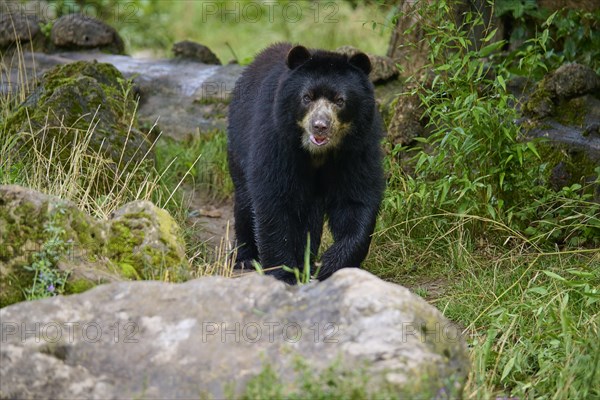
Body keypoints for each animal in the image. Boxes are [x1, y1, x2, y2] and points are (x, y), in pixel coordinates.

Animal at [225, 42, 384, 282]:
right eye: (307, 97)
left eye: (340, 100)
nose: (320, 126)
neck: (317, 153)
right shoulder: (276, 141)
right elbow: (273, 202)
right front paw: (284, 273)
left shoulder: (357, 150)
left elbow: (357, 201)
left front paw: (325, 265)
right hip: (238, 141)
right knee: (245, 200)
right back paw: (245, 258)